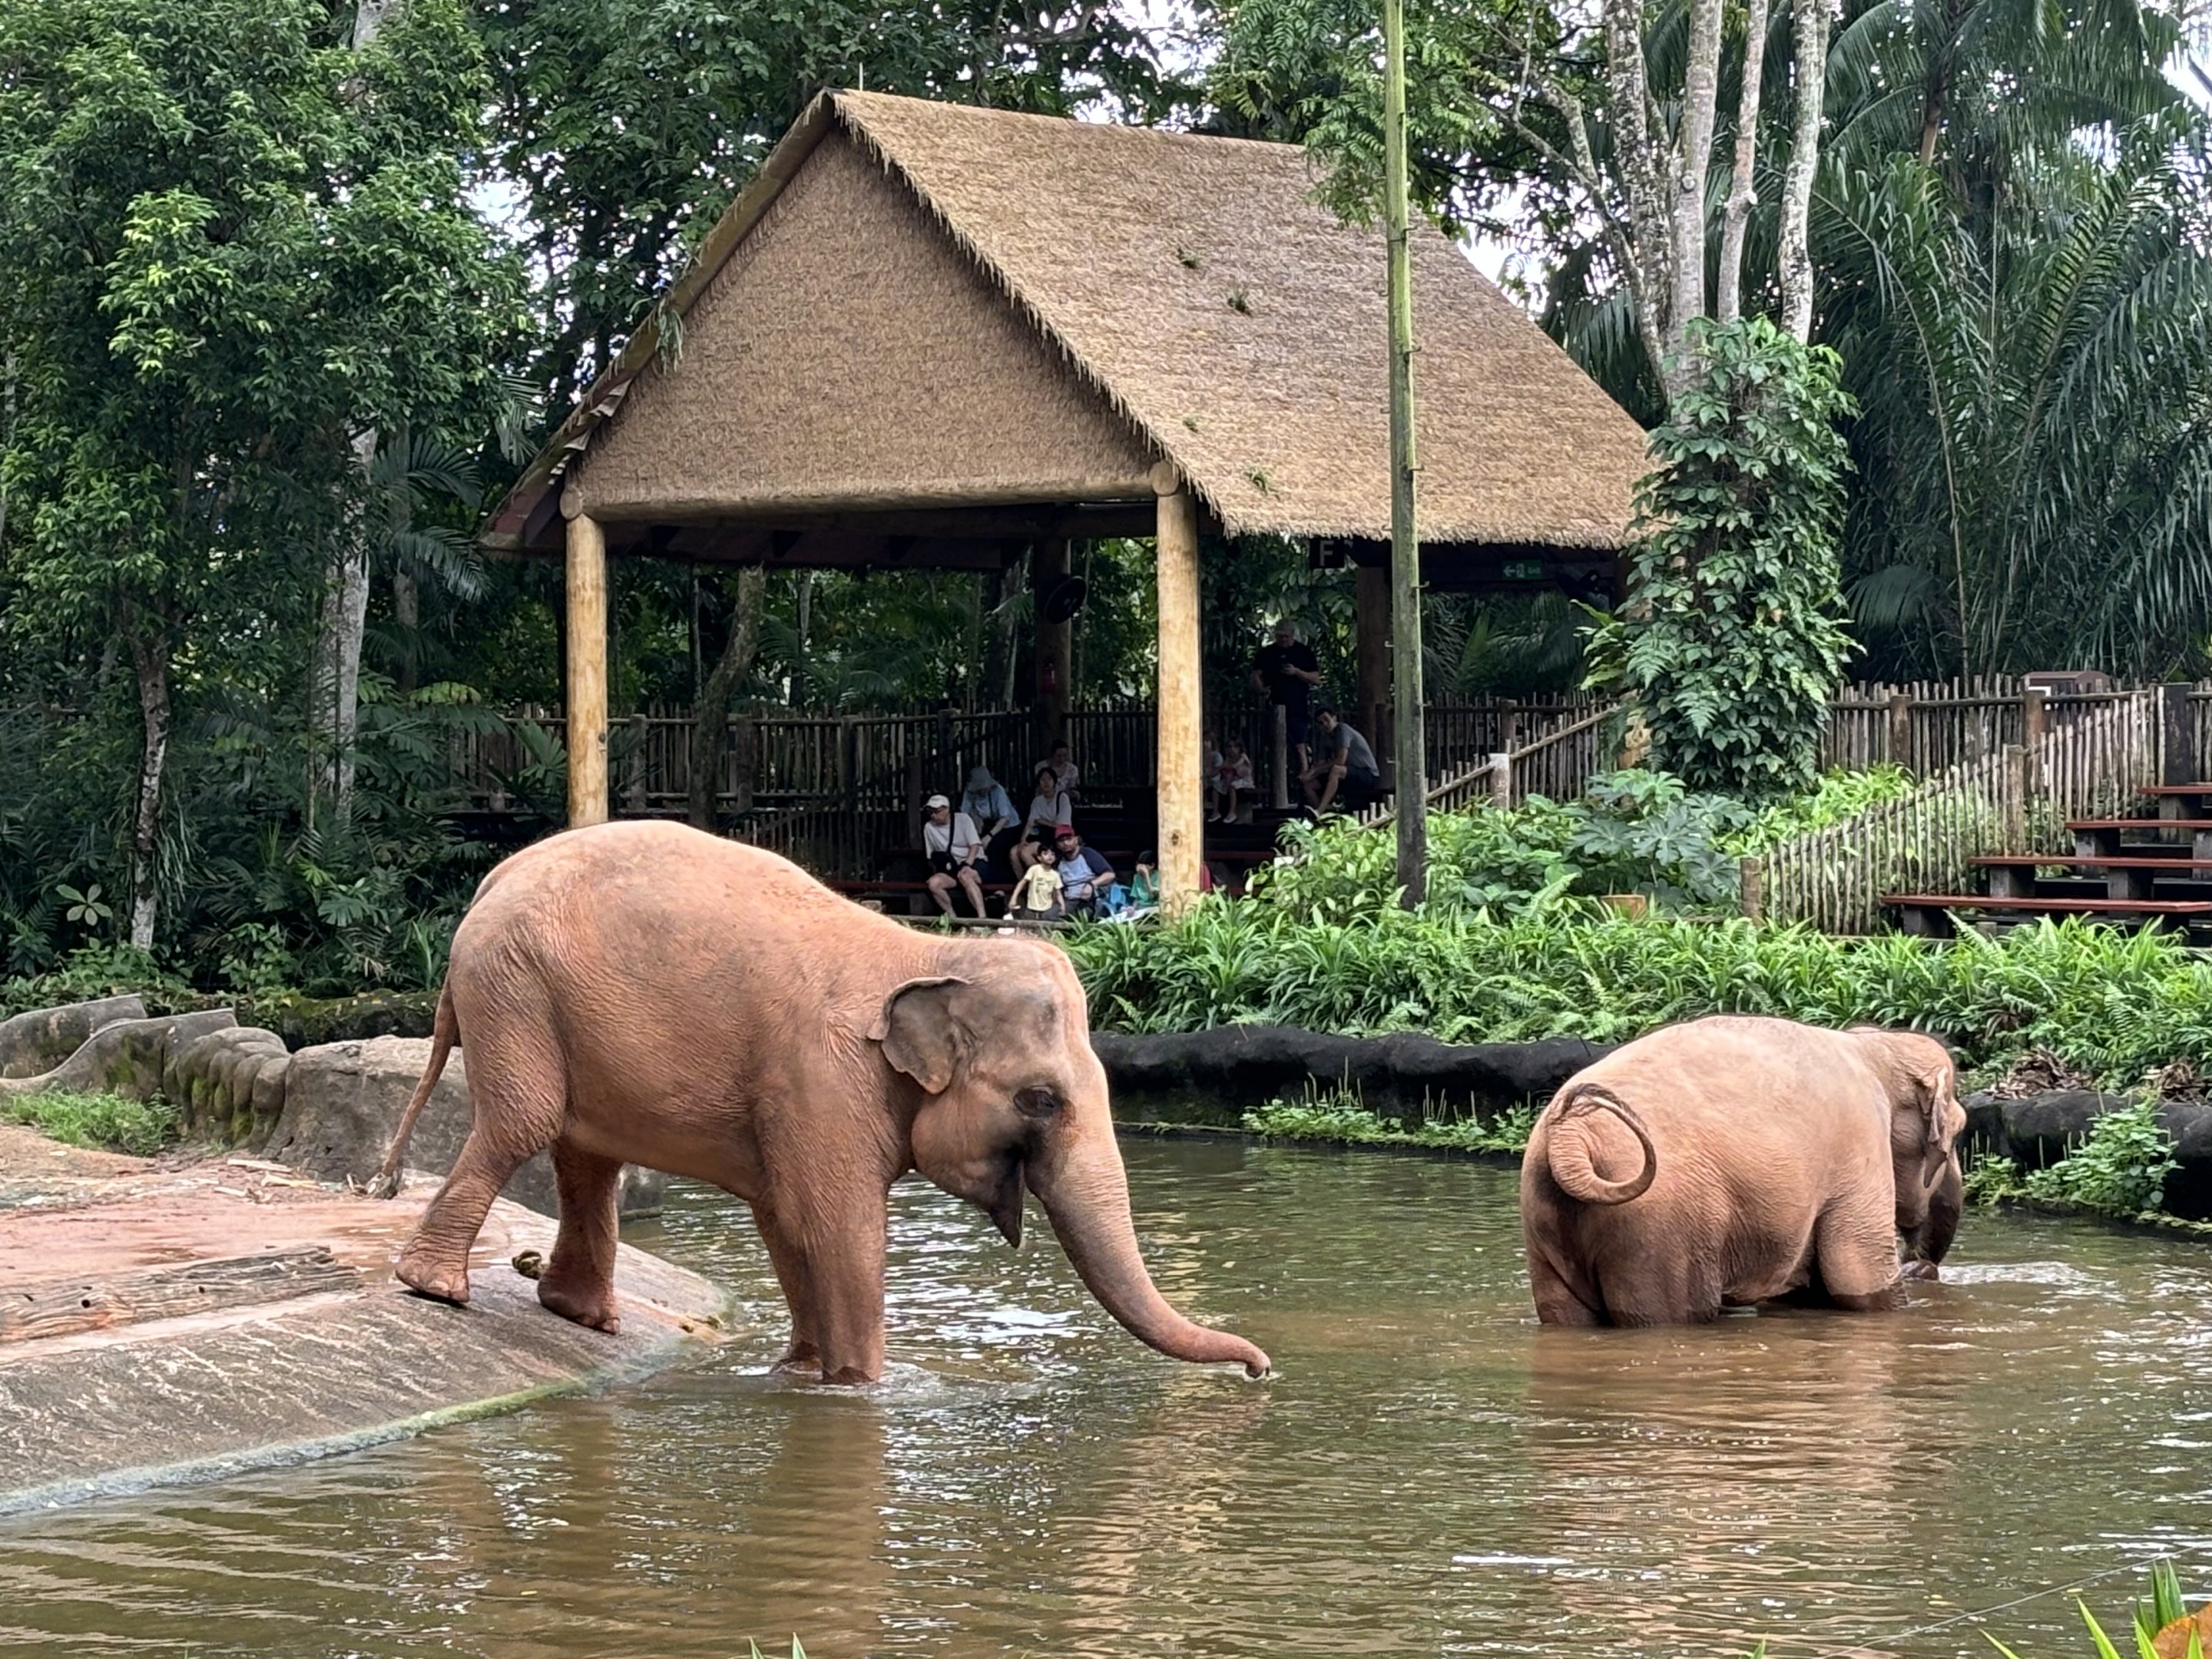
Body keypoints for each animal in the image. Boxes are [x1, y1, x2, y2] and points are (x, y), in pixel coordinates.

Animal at [375, 820, 1268, 1384]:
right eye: (1040, 1101)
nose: (1262, 1370)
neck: (927, 951)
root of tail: (492, 882)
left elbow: (786, 1220)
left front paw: (799, 1371)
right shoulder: (823, 1078)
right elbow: (837, 1226)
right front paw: (860, 1387)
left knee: (584, 1152)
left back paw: (585, 1320)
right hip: (515, 989)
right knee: (524, 1122)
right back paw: (439, 1291)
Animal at [1519, 1015, 1965, 1326]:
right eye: (1959, 1131)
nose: (1922, 1266)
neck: (1873, 1047)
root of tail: (1571, 1135)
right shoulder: (1861, 1142)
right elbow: (1859, 1274)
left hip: (1545, 1222)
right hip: (1657, 1228)